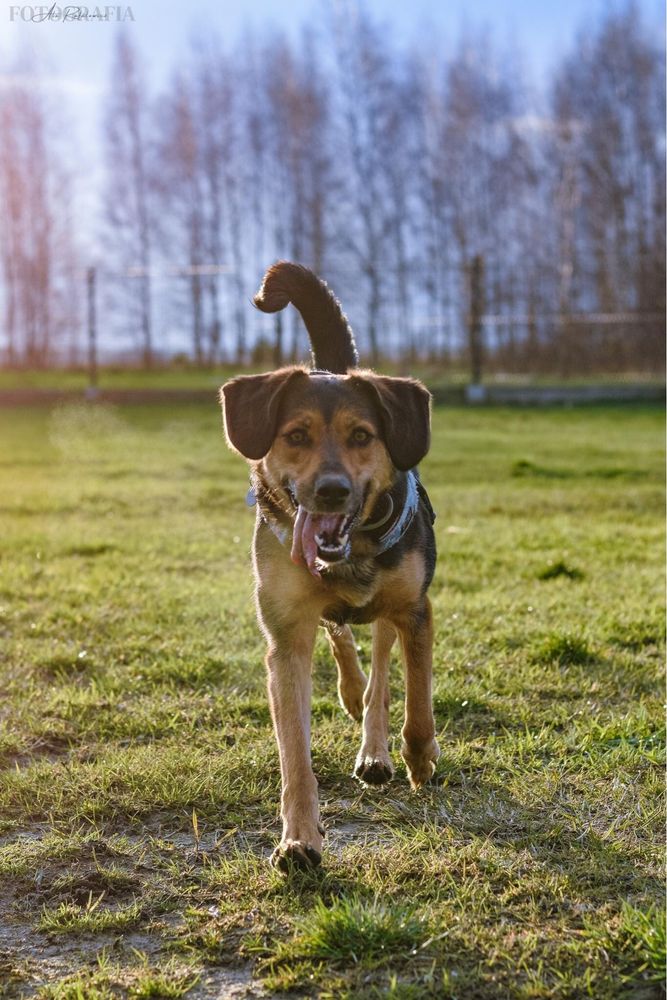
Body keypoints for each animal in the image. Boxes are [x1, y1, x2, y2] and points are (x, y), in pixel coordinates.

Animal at [218, 262, 438, 872]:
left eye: (362, 436)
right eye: (296, 436)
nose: (332, 490)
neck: (353, 550)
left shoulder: (416, 609)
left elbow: (416, 701)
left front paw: (419, 757)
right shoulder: (285, 639)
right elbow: (294, 753)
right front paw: (299, 838)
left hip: (392, 608)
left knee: (381, 666)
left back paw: (376, 747)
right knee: (341, 636)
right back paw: (350, 689)